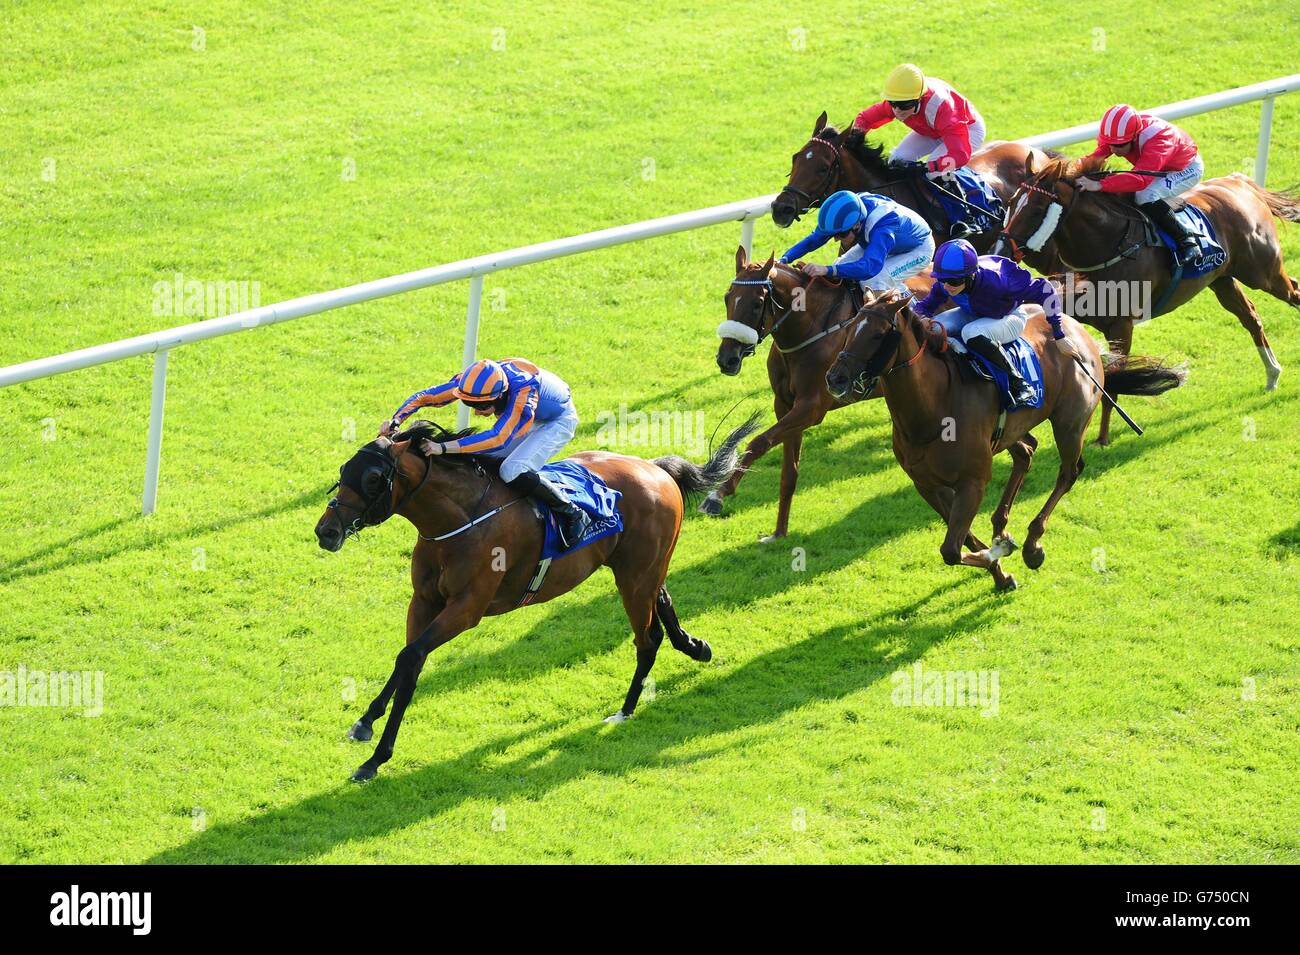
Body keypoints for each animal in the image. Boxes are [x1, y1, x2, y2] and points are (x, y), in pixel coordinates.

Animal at [315, 415, 759, 779]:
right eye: (343, 470)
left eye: (374, 478)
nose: (326, 531)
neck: (459, 521)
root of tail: (655, 468)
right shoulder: (423, 601)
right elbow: (408, 659)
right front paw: (365, 724)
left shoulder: (466, 609)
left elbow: (411, 658)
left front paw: (376, 758)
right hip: (641, 568)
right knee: (663, 601)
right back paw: (695, 647)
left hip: (634, 577)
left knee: (647, 638)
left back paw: (624, 711)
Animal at [712, 244, 935, 545]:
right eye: (727, 298)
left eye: (757, 303)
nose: (727, 359)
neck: (810, 328)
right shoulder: (784, 405)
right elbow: (788, 472)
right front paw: (778, 533)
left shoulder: (811, 408)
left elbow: (758, 442)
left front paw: (718, 494)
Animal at [826, 291, 1185, 589]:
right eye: (850, 328)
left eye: (876, 334)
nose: (835, 378)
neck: (932, 409)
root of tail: (1078, 333)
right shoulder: (926, 484)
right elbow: (964, 541)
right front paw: (999, 571)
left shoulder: (972, 481)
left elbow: (951, 549)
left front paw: (1001, 552)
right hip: (1011, 429)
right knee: (1026, 452)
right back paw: (1002, 525)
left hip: (1070, 424)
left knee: (1069, 472)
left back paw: (1032, 545)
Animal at [993, 153, 1300, 444]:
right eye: (1011, 202)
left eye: (1035, 209)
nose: (1001, 249)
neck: (1107, 244)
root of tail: (1241, 183)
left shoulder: (1121, 325)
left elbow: (1114, 378)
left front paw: (1102, 438)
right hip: (1221, 279)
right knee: (1251, 317)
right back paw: (1272, 373)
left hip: (1263, 273)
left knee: (1292, 292)